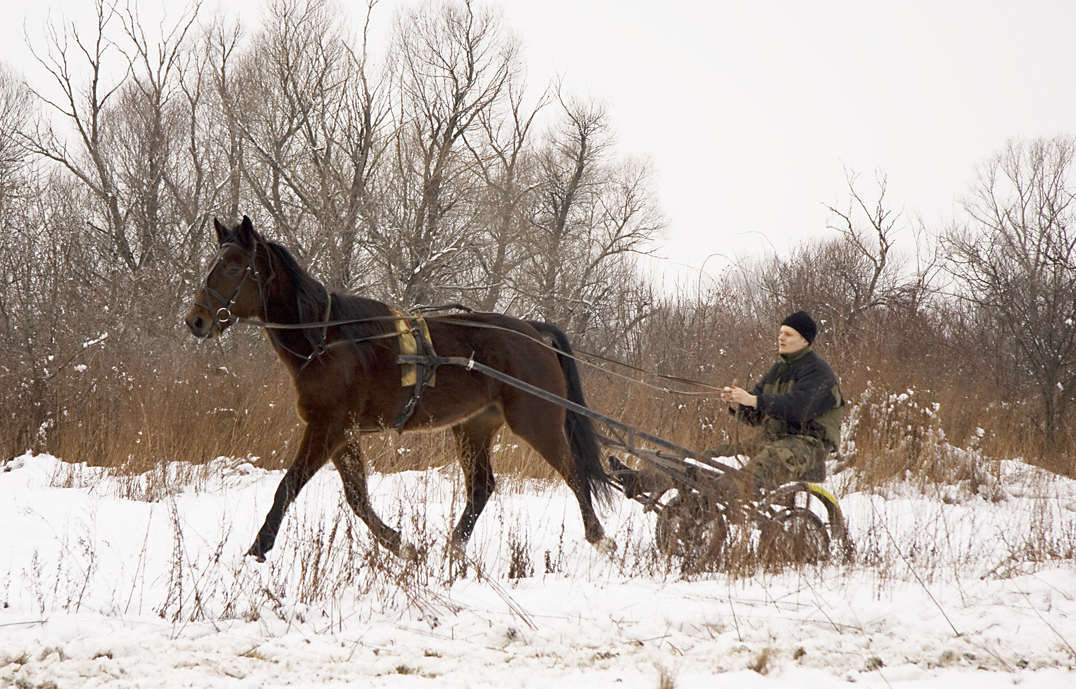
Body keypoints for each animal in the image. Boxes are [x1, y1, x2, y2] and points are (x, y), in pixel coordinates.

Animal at [185, 217, 615, 564]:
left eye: (234, 267)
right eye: (212, 265)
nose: (196, 320)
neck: (326, 340)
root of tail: (531, 331)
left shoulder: (328, 428)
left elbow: (287, 487)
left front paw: (258, 549)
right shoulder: (341, 433)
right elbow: (357, 498)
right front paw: (403, 545)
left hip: (536, 421)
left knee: (574, 474)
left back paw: (600, 538)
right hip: (474, 426)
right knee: (482, 486)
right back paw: (454, 546)